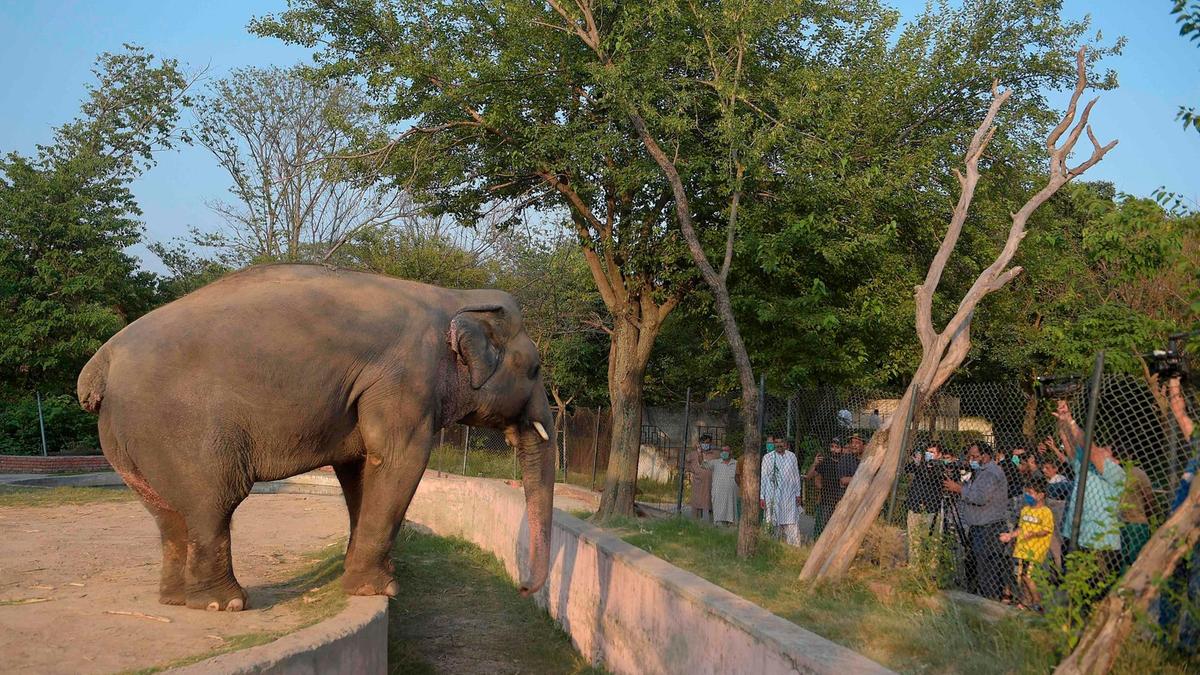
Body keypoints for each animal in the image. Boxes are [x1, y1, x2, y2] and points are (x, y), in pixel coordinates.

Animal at [77, 264, 555, 611]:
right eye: (534, 369)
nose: (523, 590)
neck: (455, 297)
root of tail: (101, 362)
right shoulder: (406, 378)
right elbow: (398, 458)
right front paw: (380, 590)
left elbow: (359, 466)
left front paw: (371, 577)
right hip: (180, 427)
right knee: (214, 502)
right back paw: (225, 604)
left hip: (128, 439)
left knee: (167, 513)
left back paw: (178, 600)